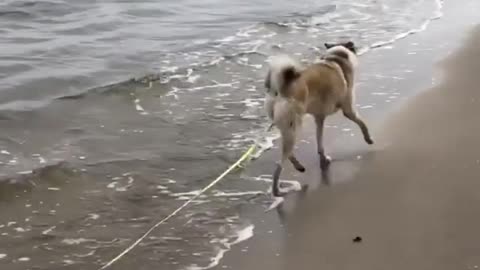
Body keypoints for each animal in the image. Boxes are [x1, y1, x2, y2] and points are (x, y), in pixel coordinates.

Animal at [264, 40, 374, 196]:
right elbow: (361, 123)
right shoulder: (348, 109)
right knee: (280, 163)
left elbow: (319, 141)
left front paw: (323, 158)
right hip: (294, 125)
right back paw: (277, 190)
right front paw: (368, 139)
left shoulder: (319, 118)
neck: (336, 58)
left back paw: (299, 166)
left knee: (288, 153)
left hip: (287, 128)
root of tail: (281, 89)